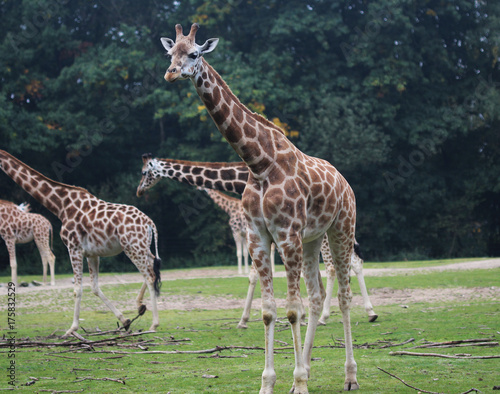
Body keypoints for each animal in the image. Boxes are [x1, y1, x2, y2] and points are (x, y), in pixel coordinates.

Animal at [0, 149, 161, 338]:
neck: (60, 206)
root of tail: (150, 223)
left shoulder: (73, 247)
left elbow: (78, 289)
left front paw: (72, 329)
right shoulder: (92, 253)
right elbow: (94, 287)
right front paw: (125, 321)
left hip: (132, 247)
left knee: (150, 276)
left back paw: (153, 324)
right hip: (141, 246)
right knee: (153, 266)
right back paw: (140, 306)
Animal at [136, 154, 376, 326]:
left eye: (145, 172)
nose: (138, 190)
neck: (241, 179)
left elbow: (255, 274)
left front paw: (244, 319)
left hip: (327, 231)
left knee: (339, 265)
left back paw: (350, 313)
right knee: (351, 262)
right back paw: (361, 312)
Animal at [160, 23, 360, 390]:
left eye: (194, 53)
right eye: (170, 53)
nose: (171, 73)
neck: (259, 163)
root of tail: (345, 183)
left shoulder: (286, 234)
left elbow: (291, 310)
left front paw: (298, 384)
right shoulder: (259, 236)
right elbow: (269, 311)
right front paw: (269, 382)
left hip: (342, 229)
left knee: (343, 294)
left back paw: (350, 377)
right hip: (313, 239)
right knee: (316, 296)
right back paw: (308, 367)